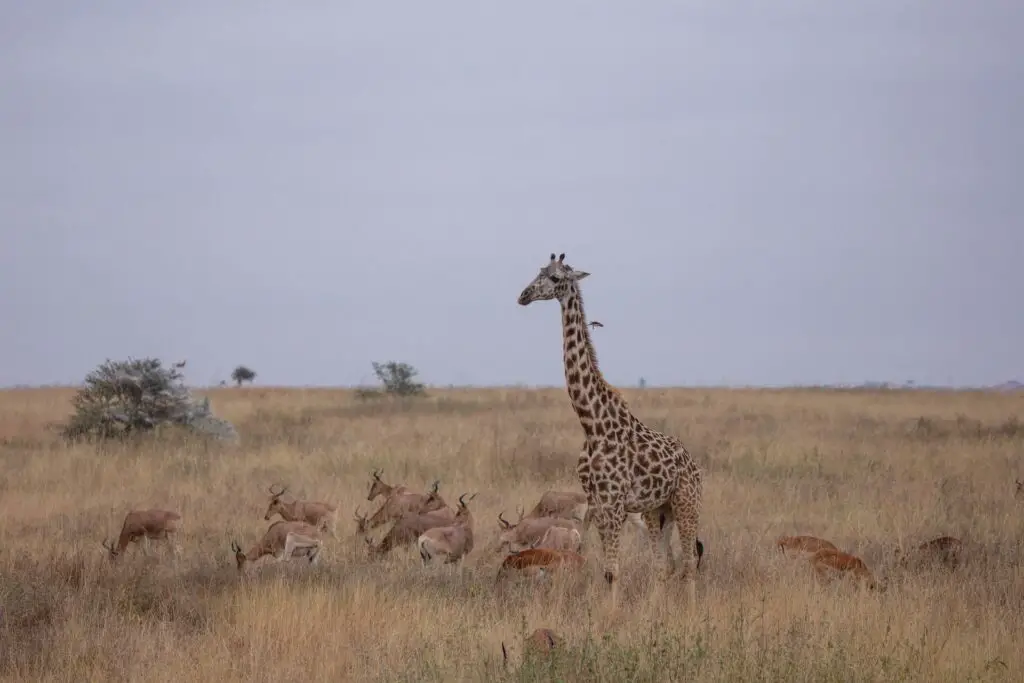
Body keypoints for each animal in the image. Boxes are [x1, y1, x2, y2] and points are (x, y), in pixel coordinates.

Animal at [520, 252, 704, 602]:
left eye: (555, 278)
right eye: (538, 271)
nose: (523, 295)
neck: (591, 423)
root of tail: (694, 463)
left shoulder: (615, 503)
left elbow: (612, 572)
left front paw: (610, 613)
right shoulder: (597, 501)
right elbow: (606, 570)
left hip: (687, 503)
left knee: (689, 563)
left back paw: (691, 610)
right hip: (658, 510)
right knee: (664, 565)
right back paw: (655, 608)